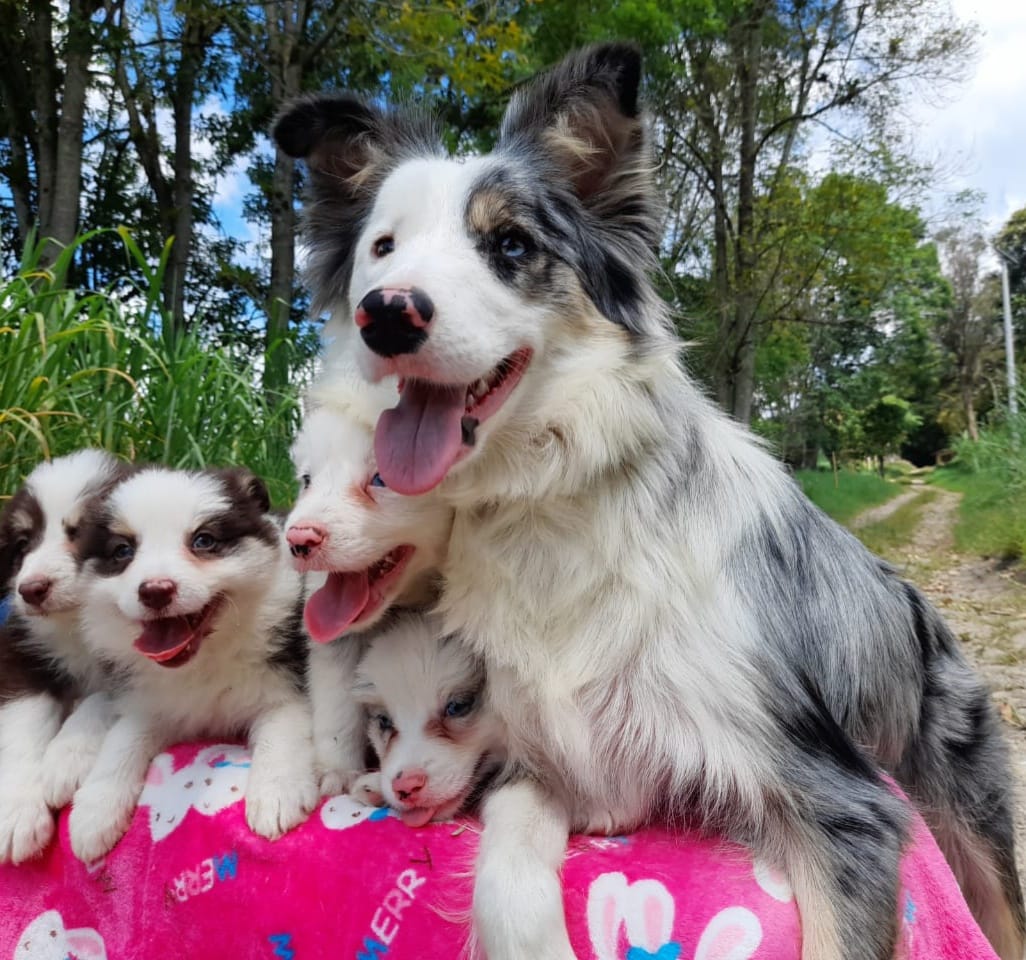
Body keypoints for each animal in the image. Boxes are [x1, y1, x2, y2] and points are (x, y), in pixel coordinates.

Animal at [68, 465, 316, 861]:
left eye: (203, 540)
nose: (155, 591)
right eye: (123, 550)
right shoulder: (151, 702)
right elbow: (122, 740)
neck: (204, 660)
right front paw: (93, 813)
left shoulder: (285, 685)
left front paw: (277, 795)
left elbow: (282, 732)